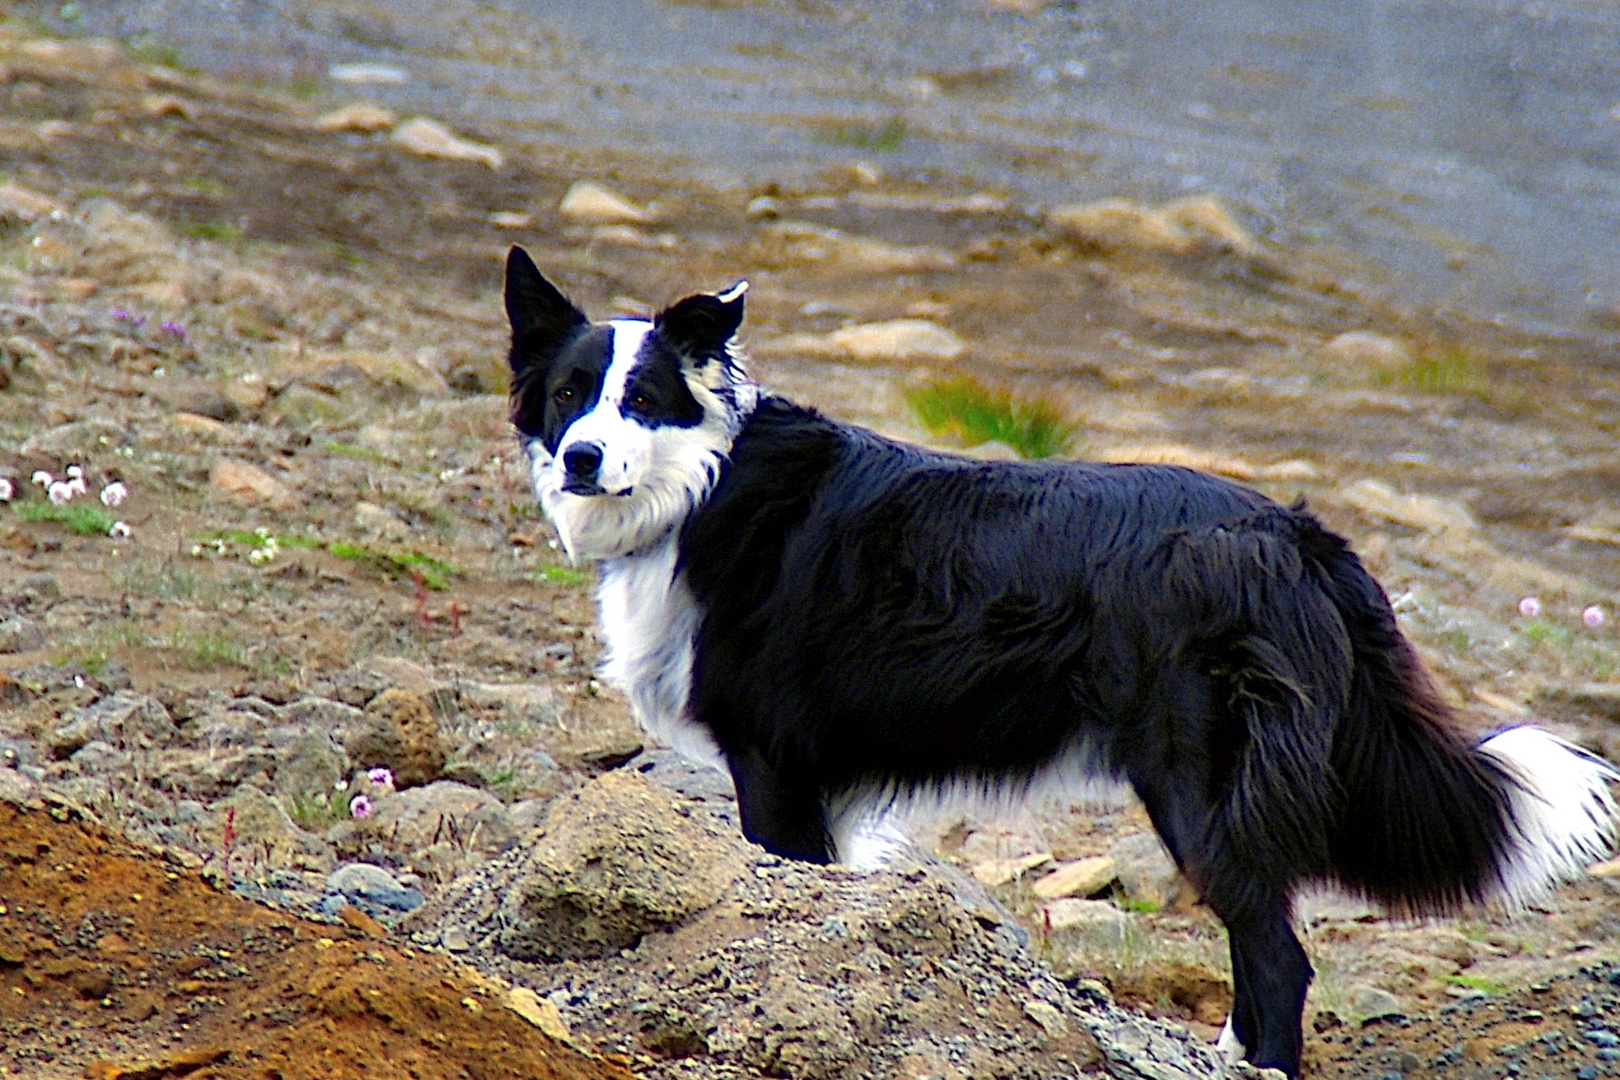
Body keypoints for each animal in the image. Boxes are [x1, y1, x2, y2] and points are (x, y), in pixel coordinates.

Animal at [505, 249, 1620, 1075]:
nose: (582, 458)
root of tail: (1292, 533)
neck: (705, 486)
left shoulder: (775, 767)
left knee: (1279, 961)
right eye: (568, 393)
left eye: (643, 400)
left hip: (1196, 782)